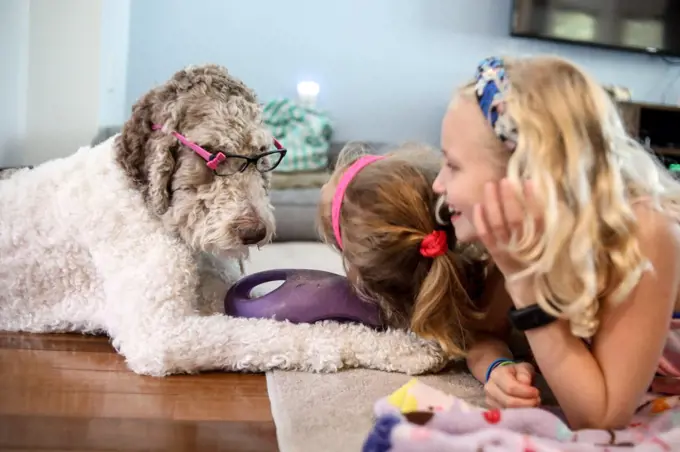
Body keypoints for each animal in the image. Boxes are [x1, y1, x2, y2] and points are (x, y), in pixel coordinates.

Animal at [0, 62, 446, 374]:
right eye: (214, 154)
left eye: (264, 155)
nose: (254, 232)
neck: (144, 197)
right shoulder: (161, 333)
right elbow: (279, 332)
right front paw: (408, 347)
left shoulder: (216, 289)